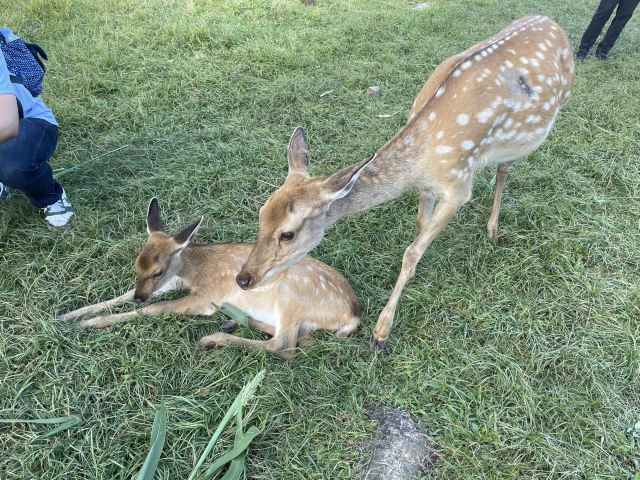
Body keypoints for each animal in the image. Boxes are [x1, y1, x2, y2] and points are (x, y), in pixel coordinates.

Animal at [57, 198, 360, 359]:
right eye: (136, 266)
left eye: (157, 271)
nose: (140, 297)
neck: (196, 270)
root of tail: (352, 314)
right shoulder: (176, 282)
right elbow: (124, 295)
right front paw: (69, 314)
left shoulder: (206, 296)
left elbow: (157, 309)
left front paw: (90, 323)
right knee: (297, 338)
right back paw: (234, 322)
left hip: (292, 295)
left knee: (284, 346)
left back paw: (212, 338)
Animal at [234, 15, 575, 353]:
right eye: (261, 213)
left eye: (288, 234)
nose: (243, 278)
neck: (422, 161)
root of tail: (551, 22)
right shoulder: (427, 187)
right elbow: (419, 230)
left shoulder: (459, 187)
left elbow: (411, 252)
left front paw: (381, 334)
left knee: (505, 168)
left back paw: (493, 231)